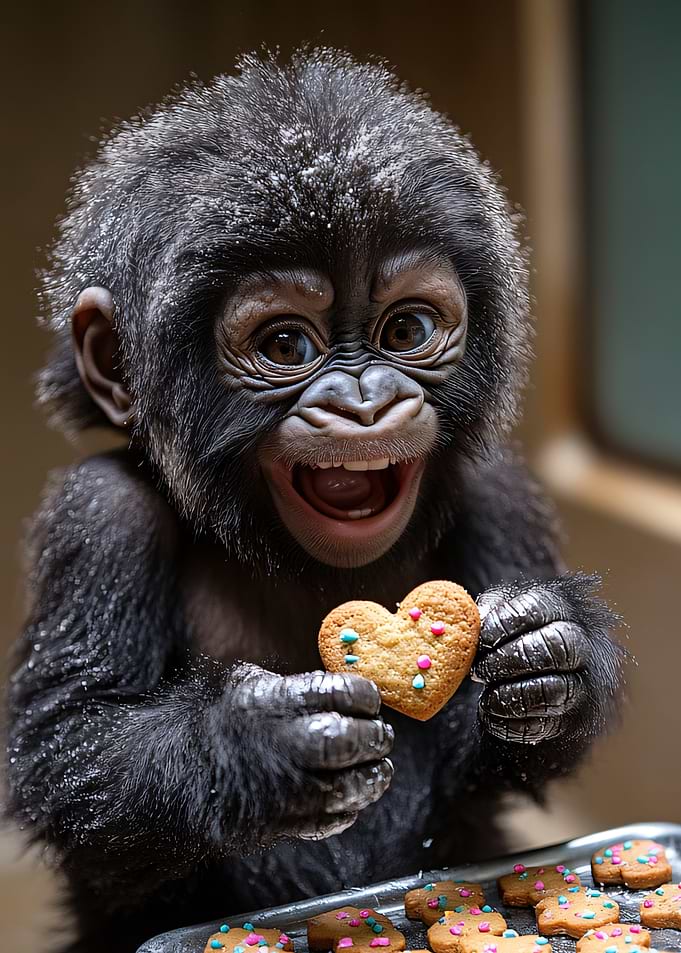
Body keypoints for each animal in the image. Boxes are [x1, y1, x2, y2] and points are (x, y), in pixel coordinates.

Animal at [6, 49, 624, 953]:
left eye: (406, 331)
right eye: (285, 344)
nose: (365, 400)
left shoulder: (501, 494)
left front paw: (553, 653)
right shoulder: (97, 518)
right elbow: (70, 743)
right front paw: (260, 743)